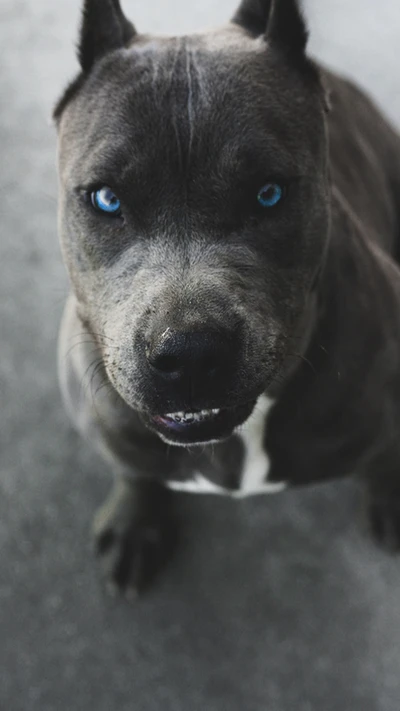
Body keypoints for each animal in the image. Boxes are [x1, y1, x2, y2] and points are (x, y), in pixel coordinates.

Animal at [54, 0, 400, 596]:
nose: (191, 354)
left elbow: (385, 460)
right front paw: (136, 520)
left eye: (269, 193)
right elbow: (132, 469)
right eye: (105, 199)